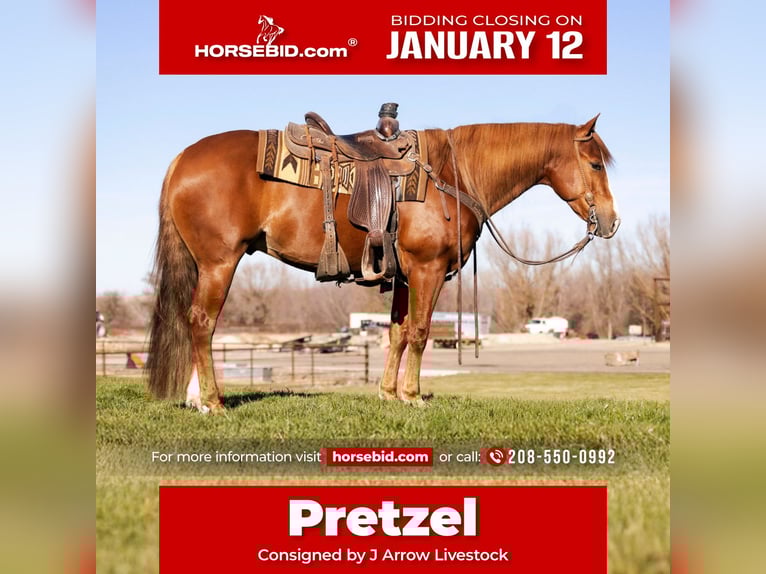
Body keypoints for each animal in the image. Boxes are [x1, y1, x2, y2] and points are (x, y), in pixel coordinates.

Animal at [146, 114, 619, 413]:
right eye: (595, 163)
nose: (612, 221)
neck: (452, 174)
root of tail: (182, 159)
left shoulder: (406, 276)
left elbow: (397, 333)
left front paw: (389, 393)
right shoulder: (428, 270)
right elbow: (421, 332)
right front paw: (412, 395)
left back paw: (195, 397)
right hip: (219, 263)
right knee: (202, 323)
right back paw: (211, 402)